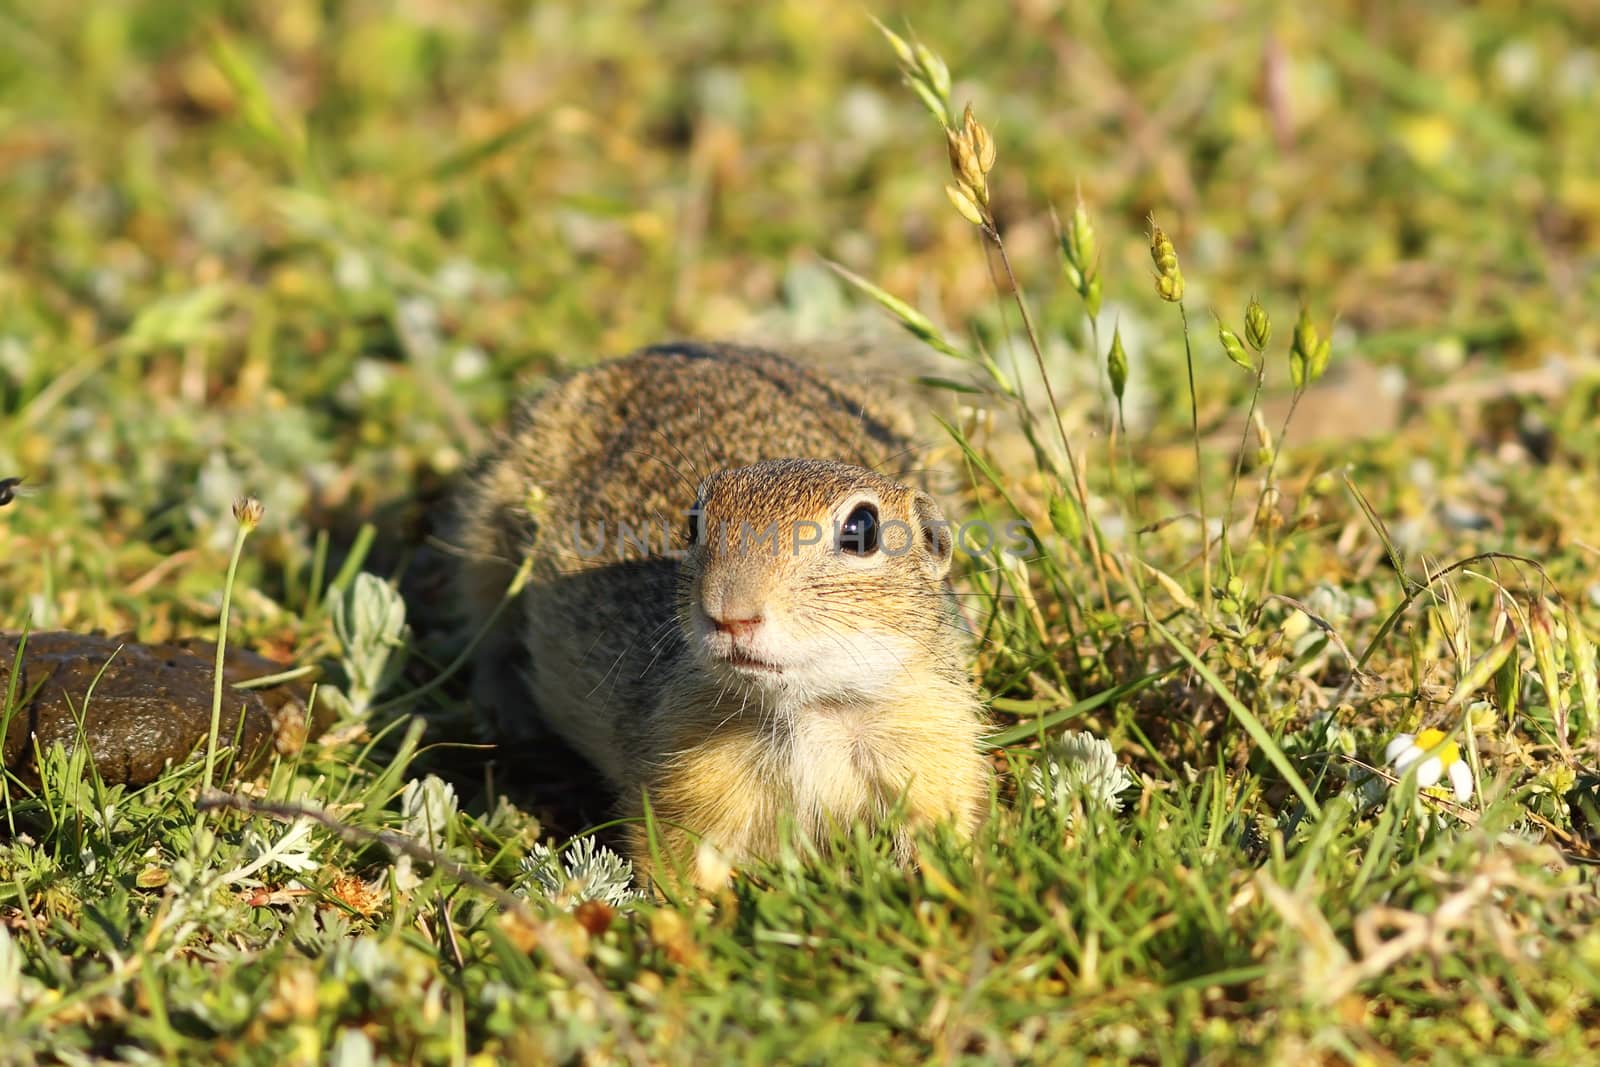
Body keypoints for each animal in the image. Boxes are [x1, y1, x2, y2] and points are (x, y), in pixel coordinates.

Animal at [454, 340, 985, 883]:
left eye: (863, 529)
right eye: (693, 523)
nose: (730, 614)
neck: (811, 710)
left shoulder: (931, 745)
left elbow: (939, 834)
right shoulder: (685, 783)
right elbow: (675, 865)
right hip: (488, 528)